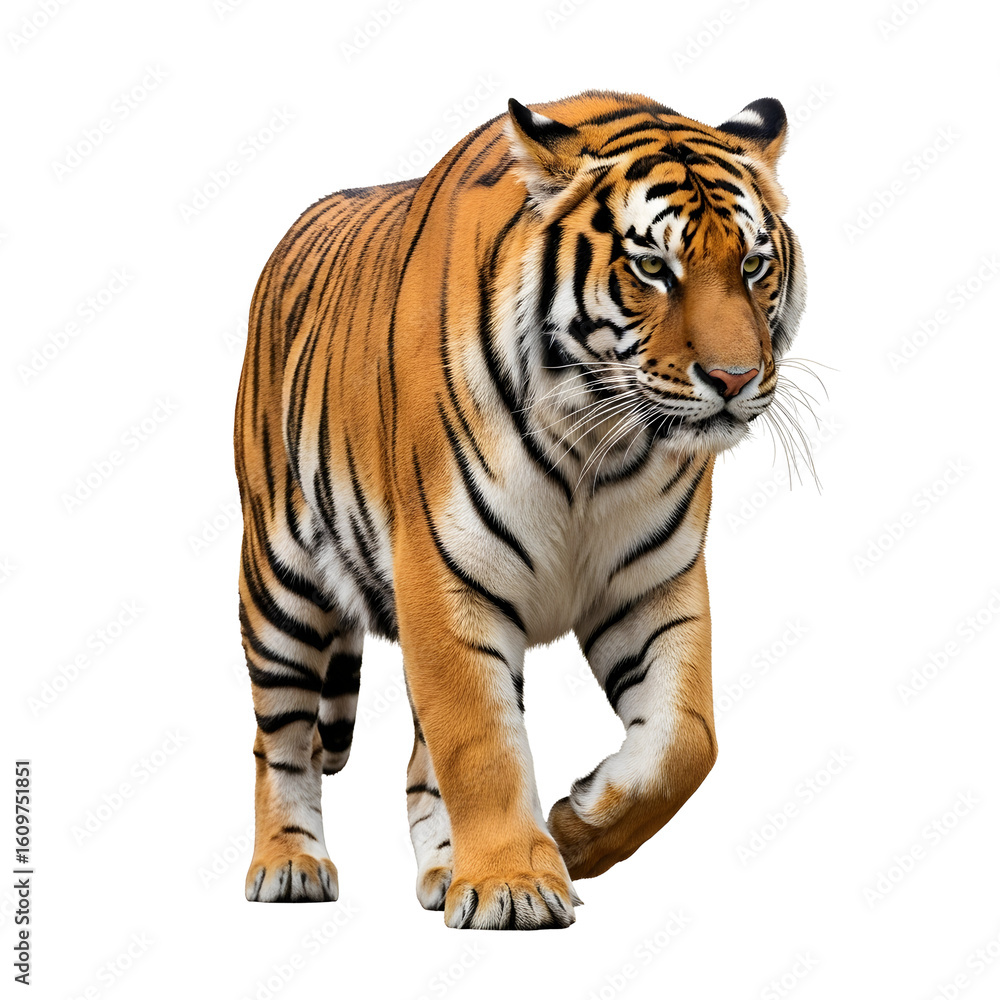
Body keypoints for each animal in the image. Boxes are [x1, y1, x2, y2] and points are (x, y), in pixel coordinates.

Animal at [234, 89, 806, 929]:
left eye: (754, 265)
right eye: (652, 267)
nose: (735, 379)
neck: (595, 444)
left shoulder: (654, 586)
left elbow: (687, 739)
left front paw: (574, 829)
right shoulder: (445, 579)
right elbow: (480, 743)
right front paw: (514, 884)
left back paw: (445, 868)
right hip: (280, 583)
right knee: (280, 740)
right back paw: (289, 864)